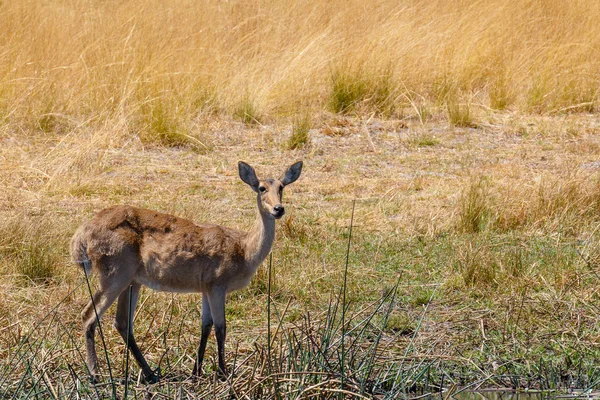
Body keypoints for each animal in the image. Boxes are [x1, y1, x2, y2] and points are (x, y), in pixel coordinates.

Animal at [70, 161, 302, 382]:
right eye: (261, 188)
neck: (244, 250)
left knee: (122, 323)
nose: (278, 209)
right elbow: (221, 327)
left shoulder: (206, 288)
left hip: (132, 281)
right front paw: (223, 373)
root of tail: (81, 235)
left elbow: (206, 326)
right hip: (114, 275)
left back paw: (150, 373)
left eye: (281, 187)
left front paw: (196, 371)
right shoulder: (218, 285)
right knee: (88, 315)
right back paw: (95, 375)